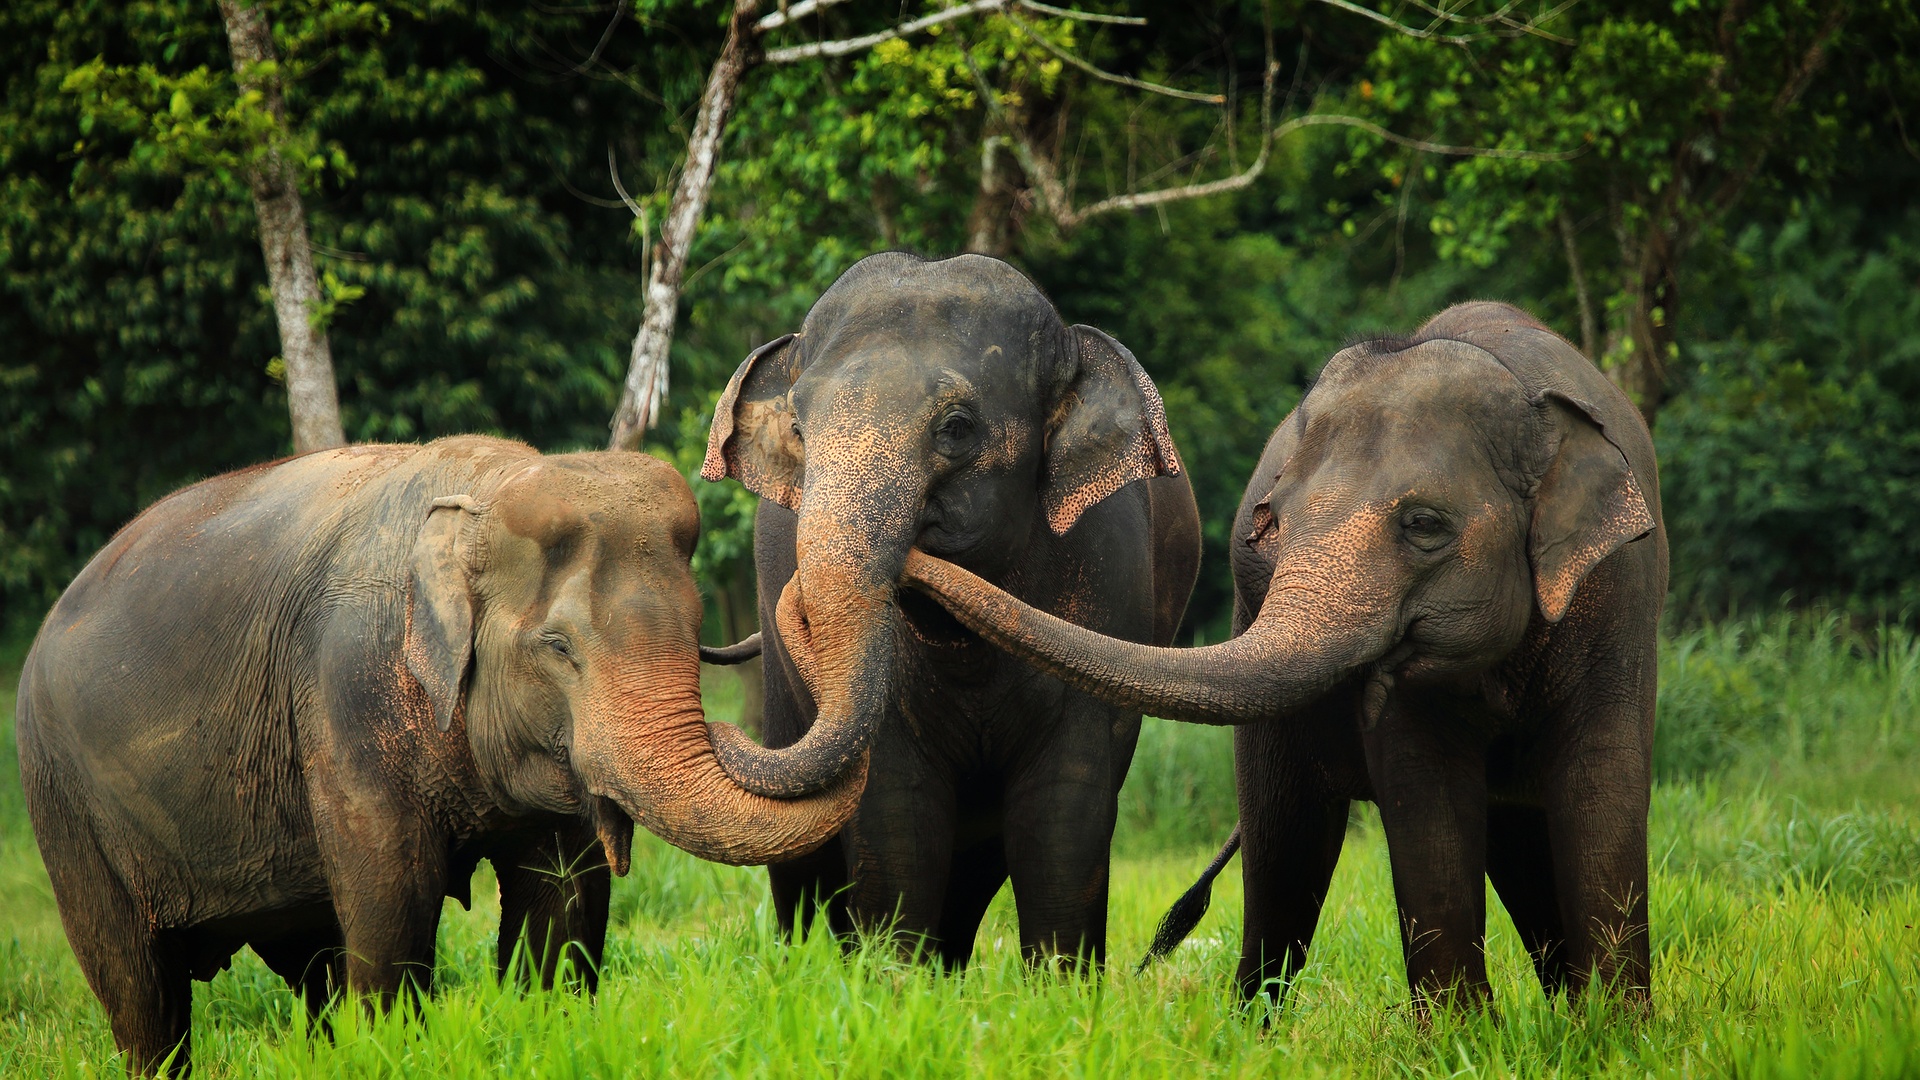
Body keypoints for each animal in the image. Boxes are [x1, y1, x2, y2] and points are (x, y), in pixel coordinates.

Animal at [15, 436, 862, 1074]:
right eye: (558, 647)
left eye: (695, 631)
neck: (484, 490)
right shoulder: (345, 691)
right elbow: (392, 899)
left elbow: (562, 902)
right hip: (61, 799)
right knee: (141, 990)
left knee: (309, 964)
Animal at [698, 251, 1202, 967]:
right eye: (797, 430)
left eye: (957, 429)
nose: (718, 729)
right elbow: (896, 812)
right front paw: (890, 979)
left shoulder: (1110, 584)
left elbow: (1064, 812)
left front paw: (1063, 986)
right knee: (803, 867)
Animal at [902, 302, 1666, 1010]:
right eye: (1271, 525)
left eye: (1424, 525)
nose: (914, 550)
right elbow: (1427, 800)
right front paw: (1468, 1039)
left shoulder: (1619, 595)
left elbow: (1602, 783)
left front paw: (1615, 1035)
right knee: (1285, 852)